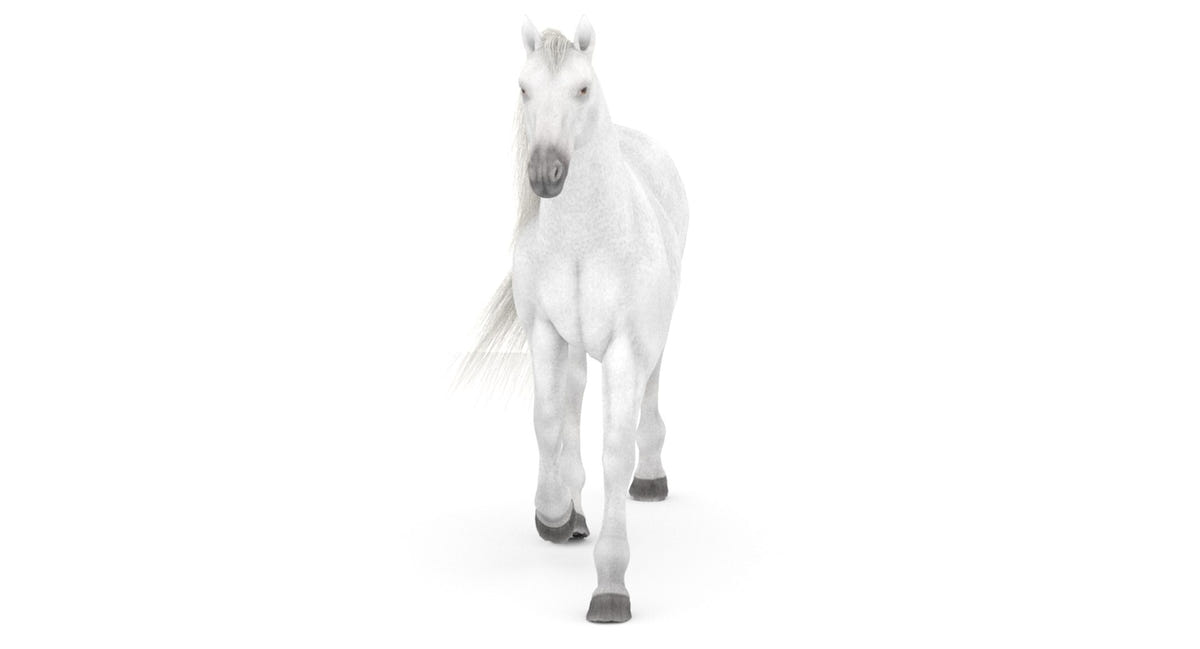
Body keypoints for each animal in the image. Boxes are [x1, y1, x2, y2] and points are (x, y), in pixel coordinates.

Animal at [462, 16, 688, 623]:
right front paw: (555, 515)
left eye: (582, 88)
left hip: (653, 333)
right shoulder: (544, 333)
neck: (586, 240)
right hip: (572, 347)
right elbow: (547, 422)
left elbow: (615, 450)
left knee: (651, 399)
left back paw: (651, 479)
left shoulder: (625, 351)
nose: (545, 174)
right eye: (524, 89)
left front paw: (610, 584)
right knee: (570, 405)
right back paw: (576, 515)